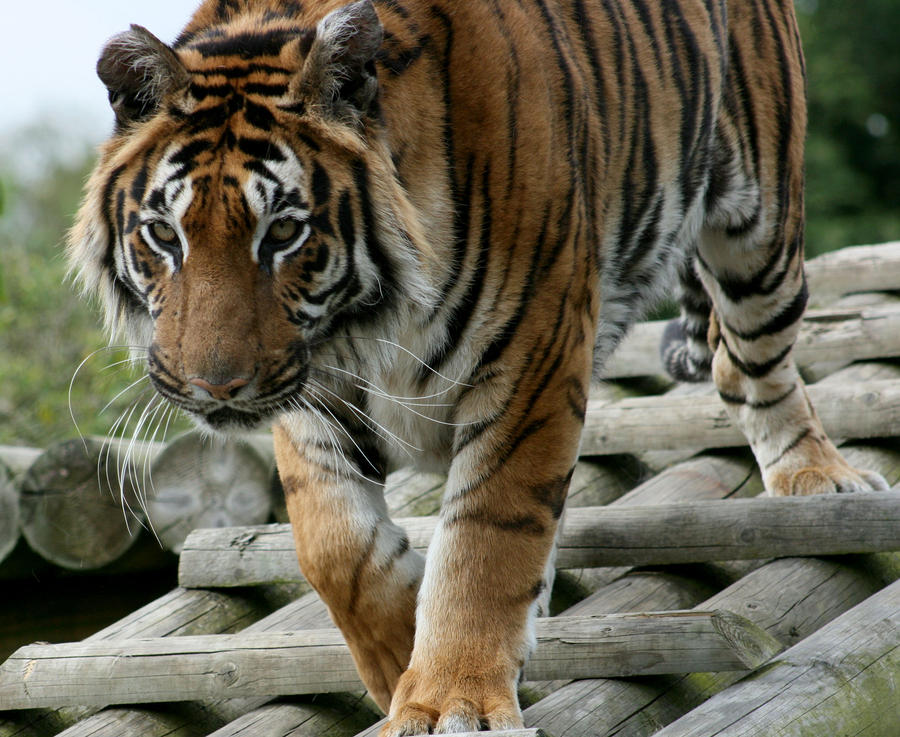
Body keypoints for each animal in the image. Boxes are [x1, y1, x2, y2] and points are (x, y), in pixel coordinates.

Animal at [70, 0, 890, 733]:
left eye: (284, 233)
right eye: (164, 234)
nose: (215, 386)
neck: (369, 319)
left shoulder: (532, 355)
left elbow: (486, 540)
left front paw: (448, 700)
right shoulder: (310, 388)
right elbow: (333, 545)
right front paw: (400, 655)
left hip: (761, 228)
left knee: (748, 361)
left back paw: (818, 477)